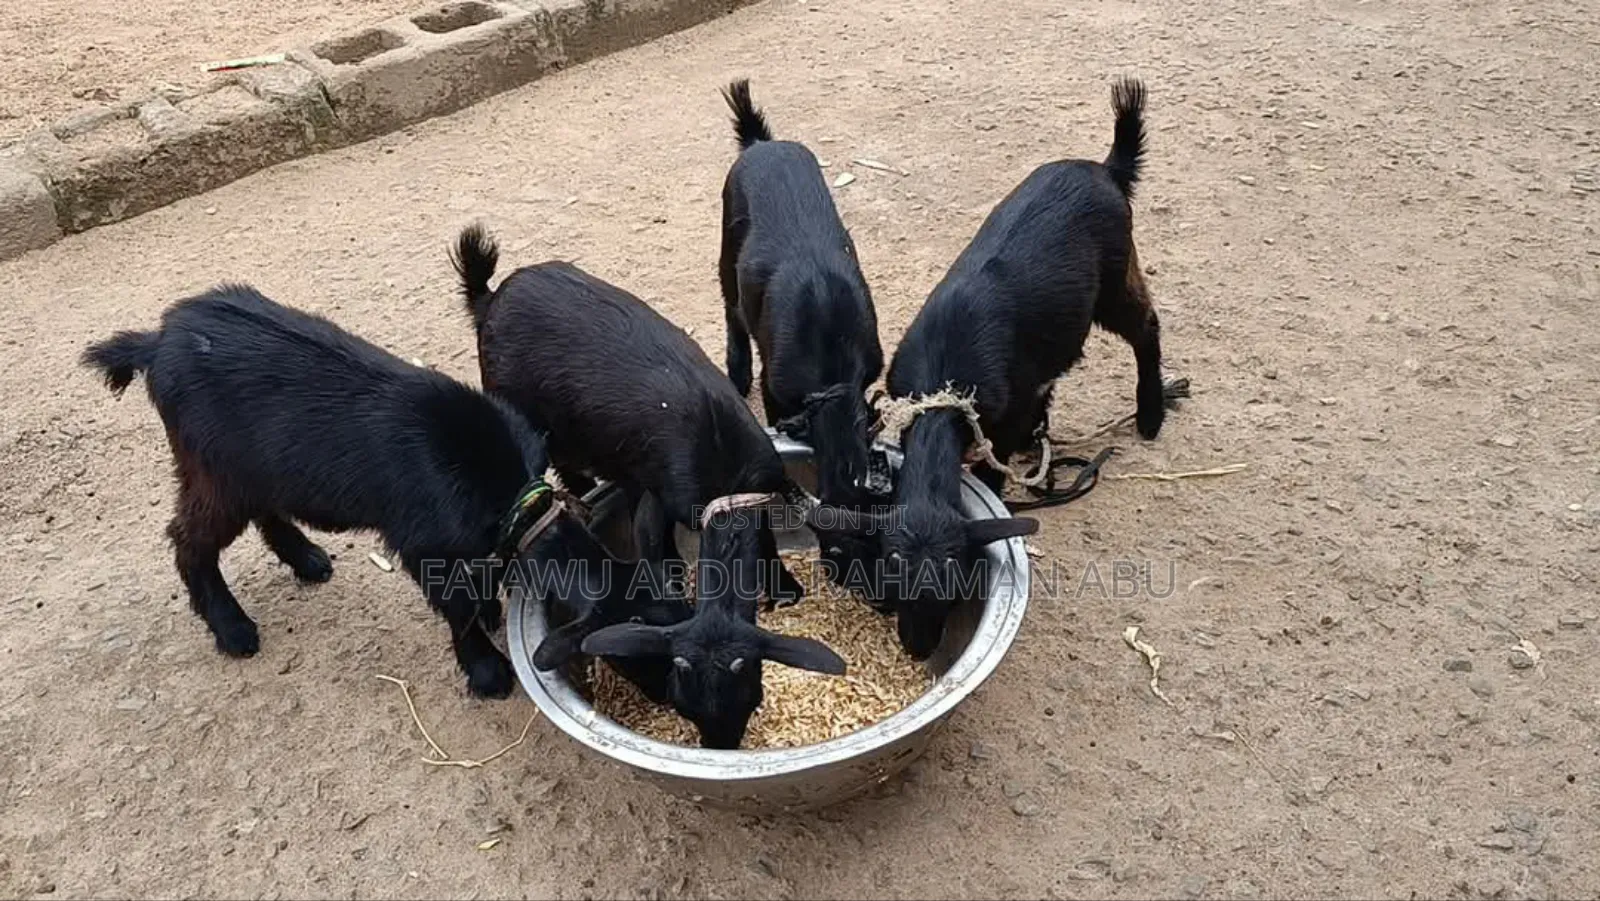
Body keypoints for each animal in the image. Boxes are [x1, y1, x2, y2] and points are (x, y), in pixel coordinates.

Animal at [81, 284, 553, 699]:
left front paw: (490, 611)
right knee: (188, 540)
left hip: (251, 468)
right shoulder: (426, 542)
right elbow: (458, 605)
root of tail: (156, 342)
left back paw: (306, 559)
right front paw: (488, 671)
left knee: (262, 510)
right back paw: (233, 628)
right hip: (216, 473)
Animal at [818, 78, 1174, 658]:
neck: (945, 387)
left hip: (1116, 276)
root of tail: (1105, 168)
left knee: (1146, 328)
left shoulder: (1003, 417)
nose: (919, 649)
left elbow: (992, 469)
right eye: (892, 579)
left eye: (954, 586)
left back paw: (1150, 414)